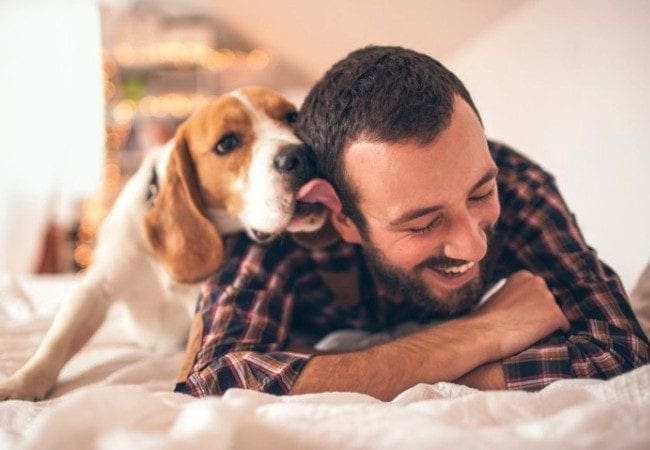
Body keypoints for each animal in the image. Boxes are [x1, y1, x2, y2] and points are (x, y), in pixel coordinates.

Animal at [0, 86, 329, 401]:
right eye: (227, 143)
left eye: (292, 116)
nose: (303, 155)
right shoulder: (97, 286)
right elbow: (59, 339)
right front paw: (24, 381)